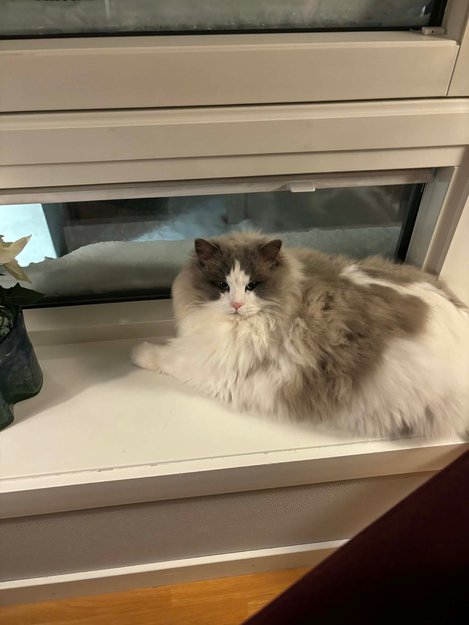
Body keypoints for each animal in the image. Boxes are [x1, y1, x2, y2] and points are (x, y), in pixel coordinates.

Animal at [131, 232, 469, 439]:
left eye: (252, 285)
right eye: (222, 286)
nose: (237, 305)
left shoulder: (213, 365)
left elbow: (169, 355)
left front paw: (137, 353)